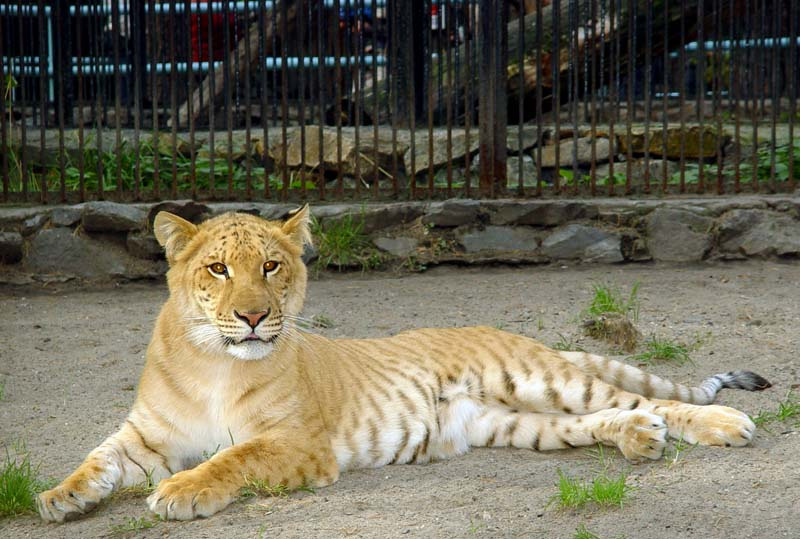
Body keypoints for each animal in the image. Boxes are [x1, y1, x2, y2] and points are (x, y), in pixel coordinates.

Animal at [37, 207, 771, 523]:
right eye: (217, 269)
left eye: (270, 266)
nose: (250, 317)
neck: (215, 361)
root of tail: (507, 331)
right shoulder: (148, 433)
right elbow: (100, 457)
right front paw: (60, 497)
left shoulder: (298, 444)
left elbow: (231, 458)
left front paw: (184, 492)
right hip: (513, 422)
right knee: (606, 416)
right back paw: (639, 438)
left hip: (540, 378)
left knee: (648, 397)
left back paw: (723, 423)